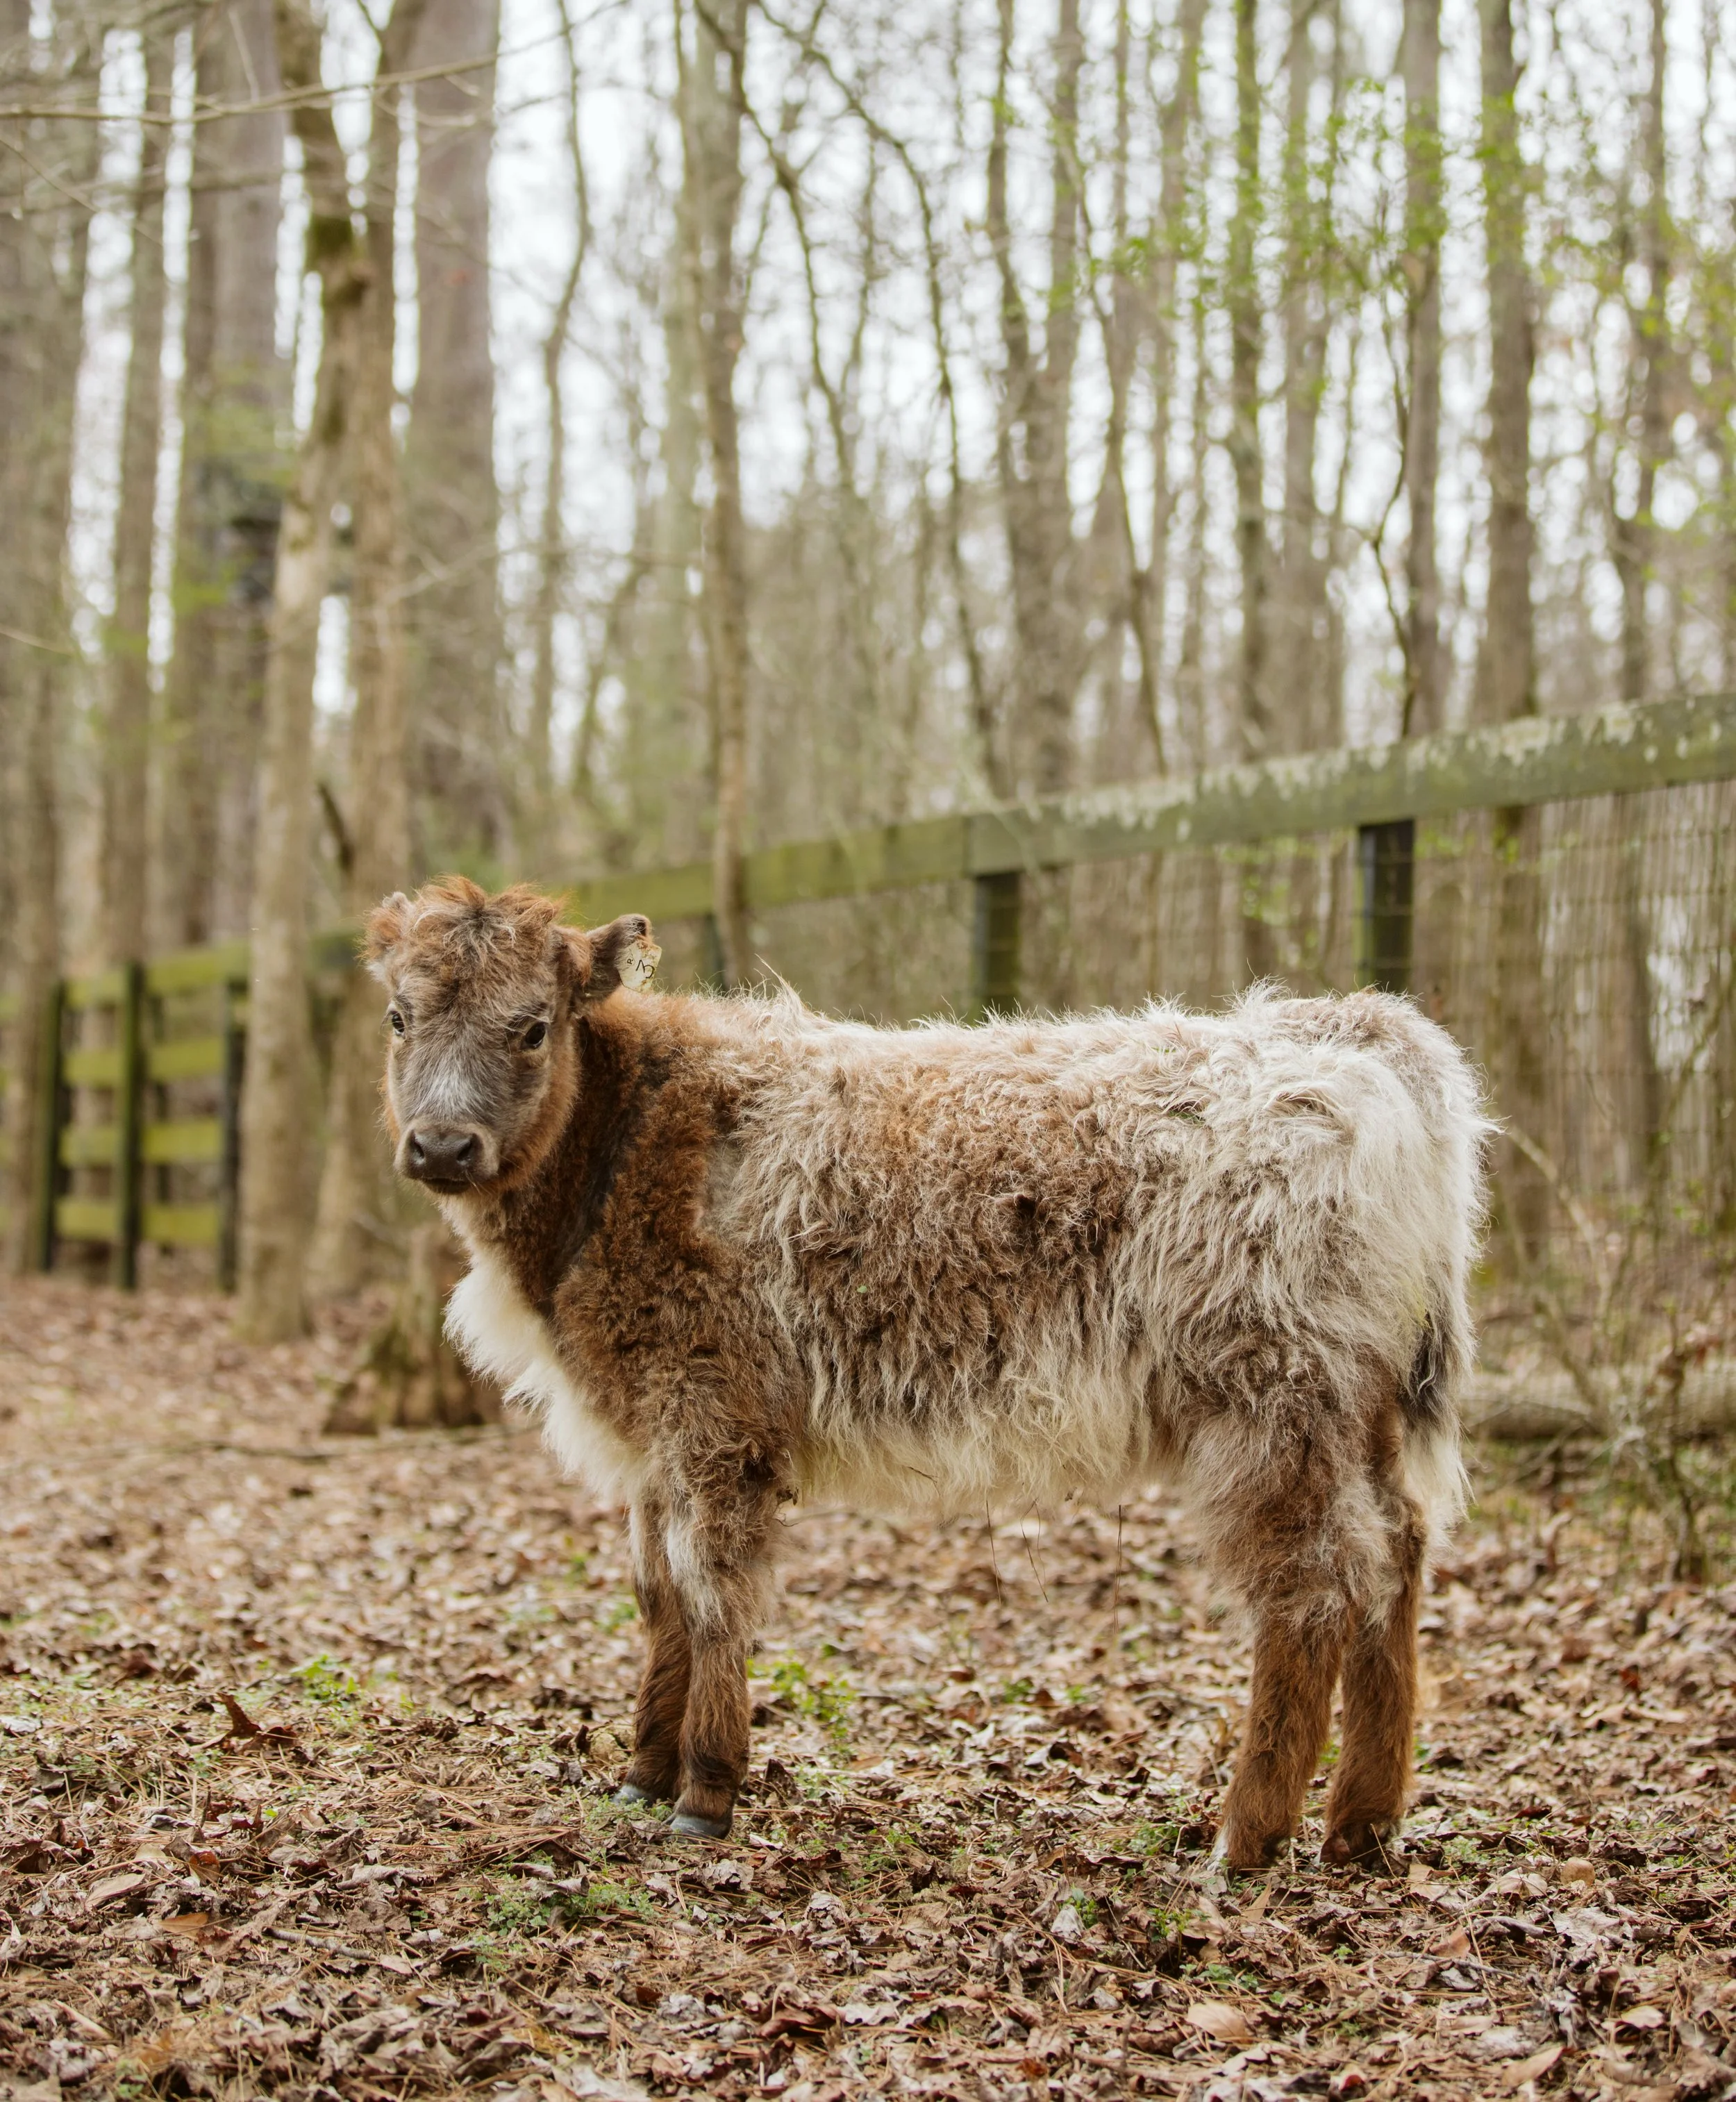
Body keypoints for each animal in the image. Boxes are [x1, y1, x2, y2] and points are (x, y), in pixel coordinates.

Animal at [367, 876, 1489, 1870]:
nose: (442, 1144)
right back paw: (1362, 1826)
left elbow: (713, 1588)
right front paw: (641, 1775)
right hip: (1359, 1408)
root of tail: (1350, 1028)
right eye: (397, 1015)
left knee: (1310, 1590)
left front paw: (704, 1794)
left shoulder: (713, 1410)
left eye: (532, 1027)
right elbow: (659, 1592)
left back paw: (1245, 1839)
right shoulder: (652, 1431)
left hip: (1274, 1400)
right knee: (1394, 1555)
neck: (630, 1143)